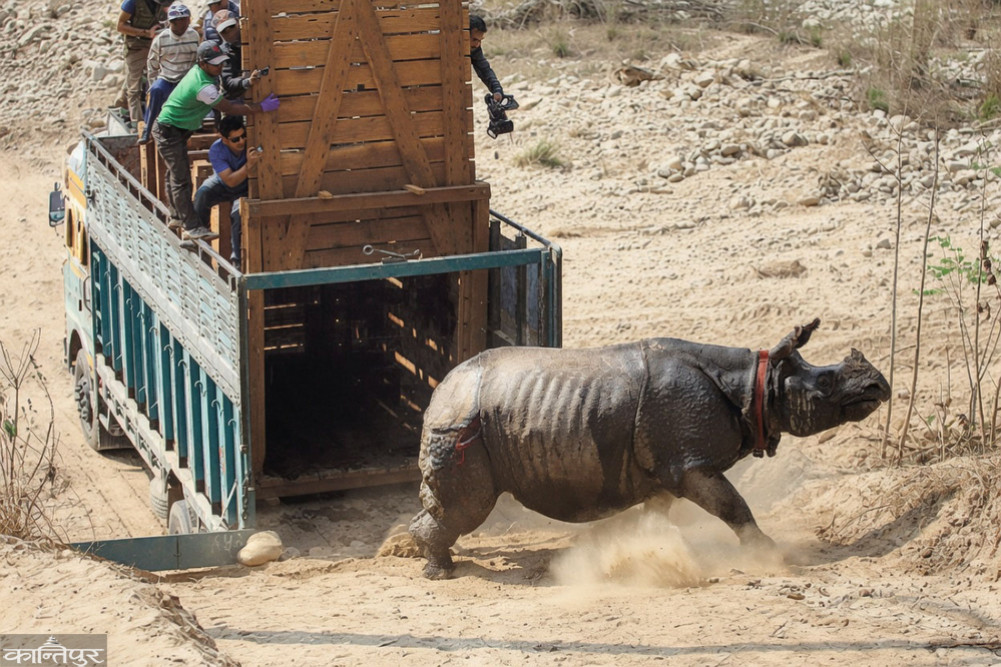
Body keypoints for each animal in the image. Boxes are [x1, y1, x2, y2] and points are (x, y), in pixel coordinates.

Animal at [409, 319, 890, 579]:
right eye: (825, 383)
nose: (879, 386)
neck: (757, 381)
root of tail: (439, 390)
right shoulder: (692, 464)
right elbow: (734, 506)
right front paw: (769, 555)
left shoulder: (667, 469)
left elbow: (657, 515)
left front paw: (651, 552)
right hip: (464, 425)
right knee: (469, 506)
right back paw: (442, 571)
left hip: (474, 417)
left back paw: (428, 557)